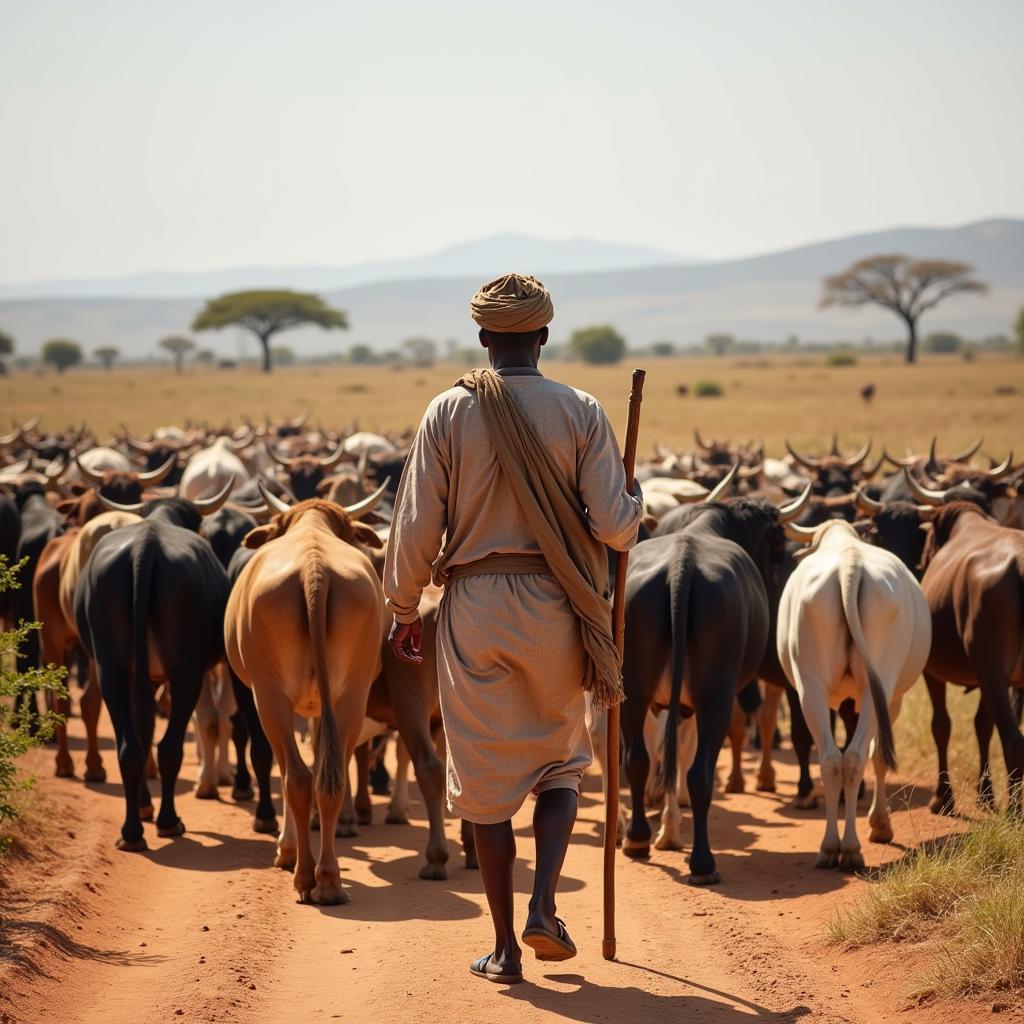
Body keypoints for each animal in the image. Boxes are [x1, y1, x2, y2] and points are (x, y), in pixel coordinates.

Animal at [74, 483, 234, 851]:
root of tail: (145, 548)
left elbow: (143, 729)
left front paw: (145, 804)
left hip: (111, 669)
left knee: (131, 746)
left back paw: (132, 831)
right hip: (186, 673)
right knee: (169, 747)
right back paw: (168, 821)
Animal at [227, 491, 387, 901]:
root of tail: (314, 569)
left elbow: (288, 769)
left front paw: (286, 848)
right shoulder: (322, 706)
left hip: (269, 698)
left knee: (297, 778)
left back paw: (304, 875)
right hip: (351, 696)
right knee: (330, 779)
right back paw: (329, 879)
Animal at [778, 516, 933, 868]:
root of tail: (850, 565)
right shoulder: (893, 699)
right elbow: (879, 756)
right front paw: (881, 824)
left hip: (811, 688)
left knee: (833, 760)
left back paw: (830, 848)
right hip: (881, 685)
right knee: (858, 756)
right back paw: (850, 848)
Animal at [913, 499, 1024, 811]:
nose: (921, 562)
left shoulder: (931, 670)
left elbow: (941, 726)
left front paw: (943, 796)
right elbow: (982, 725)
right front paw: (985, 794)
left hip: (990, 671)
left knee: (1013, 741)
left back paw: (1015, 809)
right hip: (994, 675)